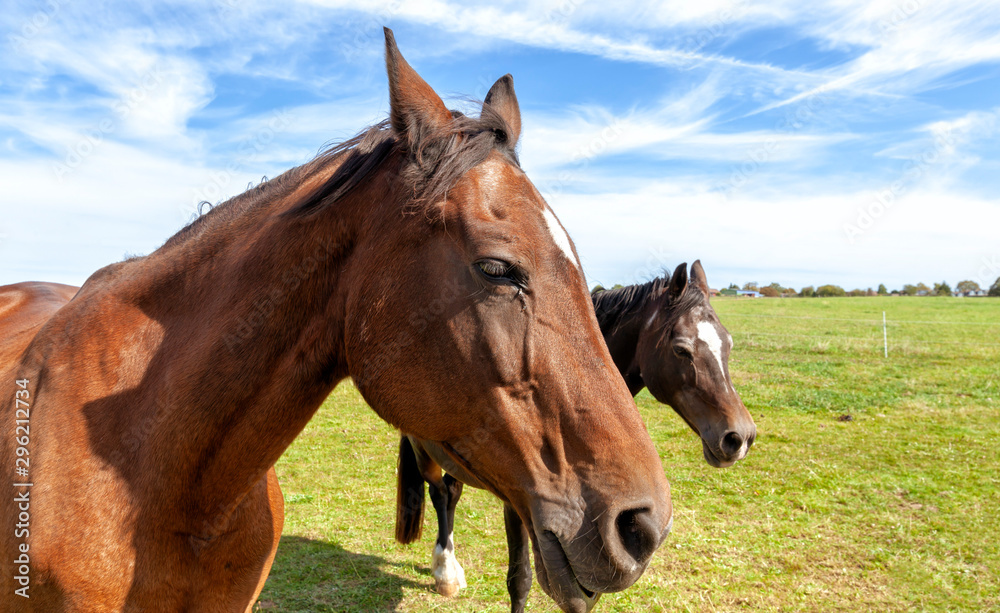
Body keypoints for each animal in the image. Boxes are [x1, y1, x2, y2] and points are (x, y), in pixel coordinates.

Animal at [394, 258, 752, 608]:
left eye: (728, 343)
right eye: (681, 349)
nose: (740, 437)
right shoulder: (522, 504)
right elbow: (520, 581)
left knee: (452, 492)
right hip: (423, 451)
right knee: (440, 493)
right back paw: (444, 571)